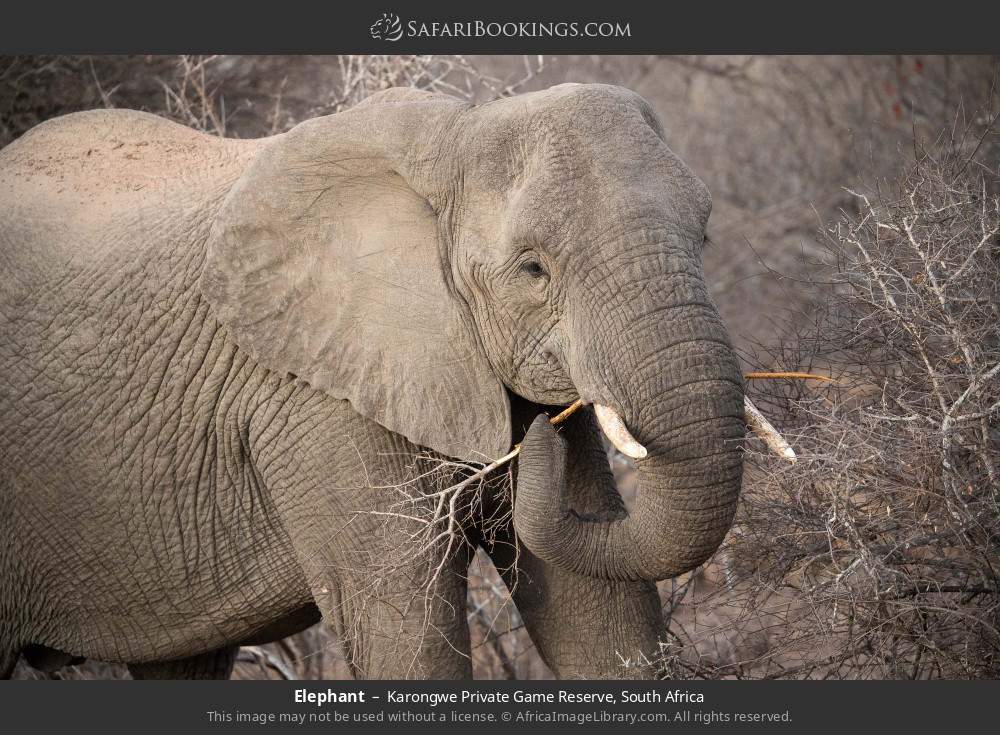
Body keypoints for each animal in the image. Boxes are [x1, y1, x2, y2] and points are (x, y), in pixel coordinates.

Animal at [0, 83, 744, 680]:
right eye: (533, 269)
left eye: (705, 236)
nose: (538, 442)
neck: (454, 140)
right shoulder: (310, 399)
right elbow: (406, 629)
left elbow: (599, 610)